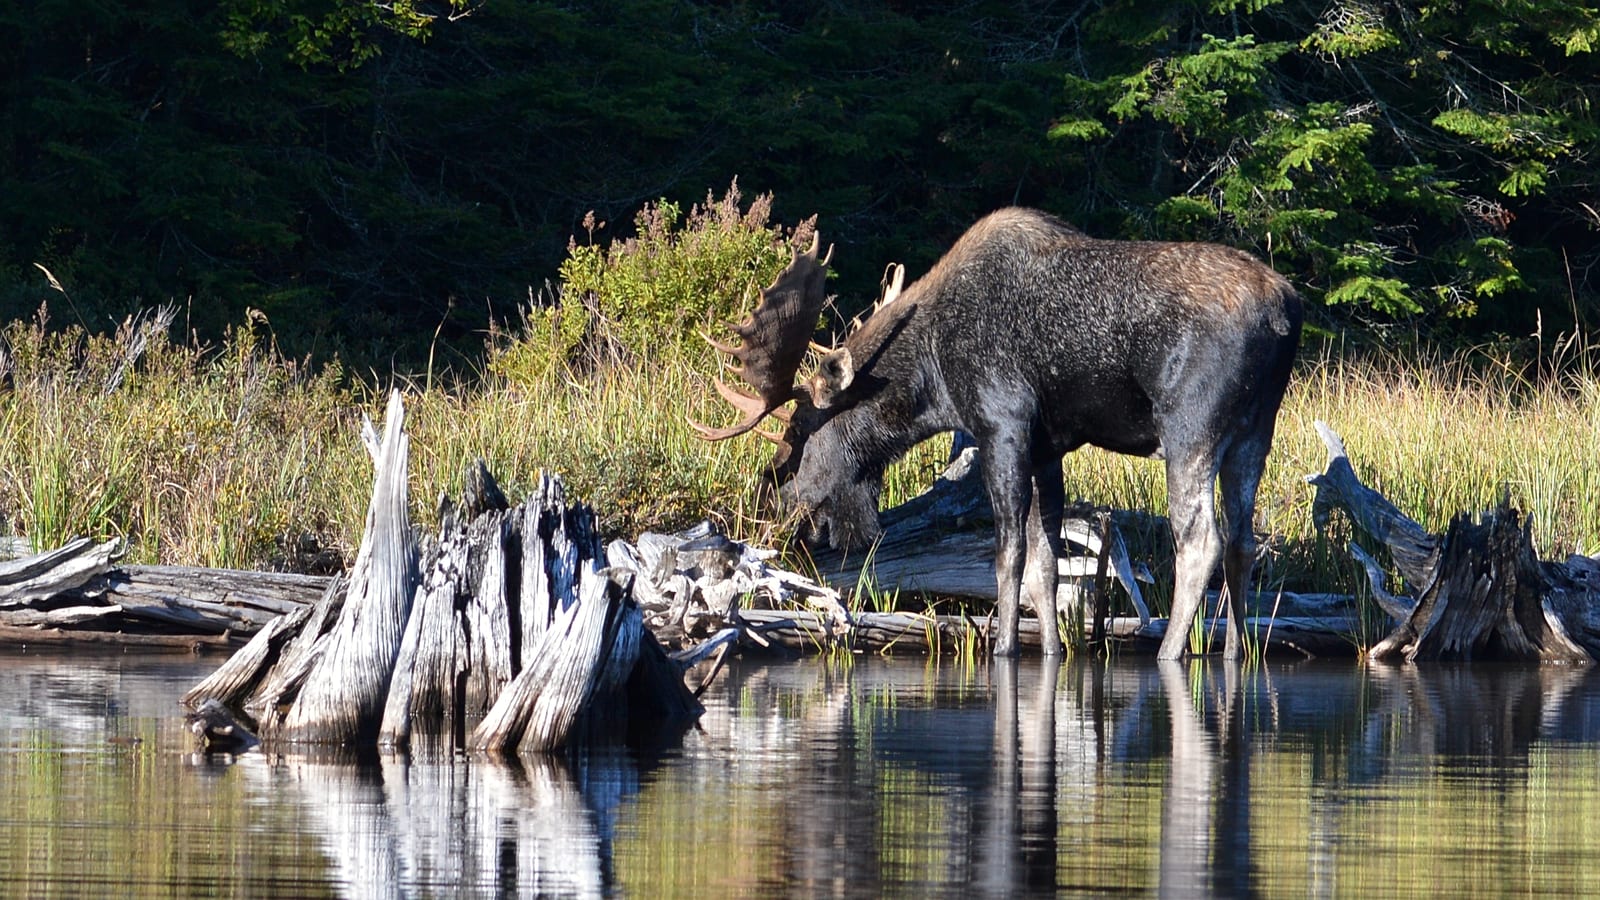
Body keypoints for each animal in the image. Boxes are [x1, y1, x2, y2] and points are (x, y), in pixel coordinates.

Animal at [693, 208, 1301, 659]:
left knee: (1200, 541)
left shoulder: (1001, 423)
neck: (932, 380)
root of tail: (1286, 309)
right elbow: (1046, 565)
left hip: (1189, 427)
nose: (776, 500)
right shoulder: (1048, 447)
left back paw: (1171, 652)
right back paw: (1235, 651)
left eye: (796, 433)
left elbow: (1008, 553)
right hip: (1256, 431)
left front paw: (1005, 647)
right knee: (1244, 540)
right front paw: (1052, 650)